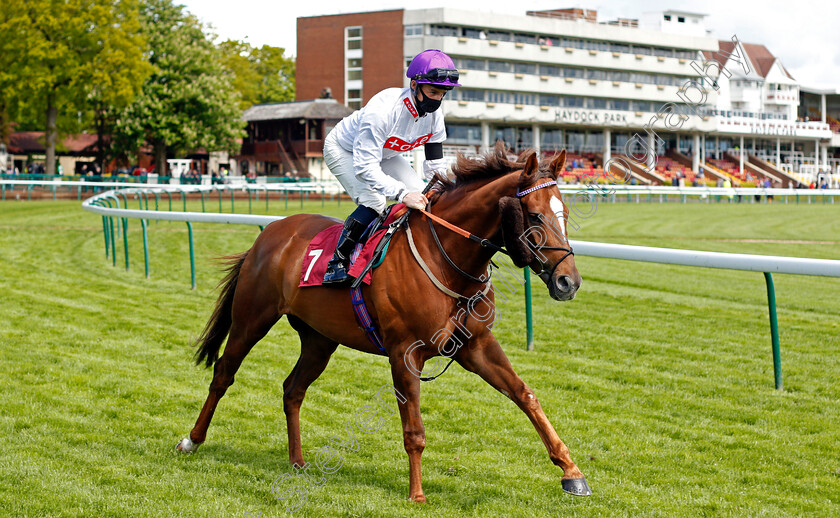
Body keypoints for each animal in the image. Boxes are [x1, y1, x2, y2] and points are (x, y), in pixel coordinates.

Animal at [176, 144, 592, 502]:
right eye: (535, 216)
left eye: (565, 214)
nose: (568, 282)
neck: (448, 260)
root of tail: (271, 233)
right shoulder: (404, 353)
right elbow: (414, 430)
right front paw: (417, 494)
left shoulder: (476, 346)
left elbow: (526, 395)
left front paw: (572, 472)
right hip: (252, 318)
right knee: (223, 373)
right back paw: (192, 440)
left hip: (319, 339)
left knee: (293, 390)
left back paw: (297, 460)